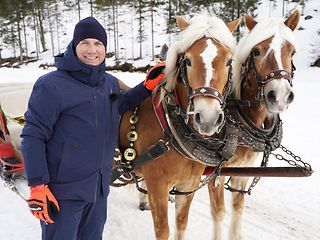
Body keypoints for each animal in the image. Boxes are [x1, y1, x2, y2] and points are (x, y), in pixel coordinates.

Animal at [118, 14, 240, 240]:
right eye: (188, 61)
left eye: (229, 62)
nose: (208, 118)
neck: (171, 131)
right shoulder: (157, 187)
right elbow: (163, 230)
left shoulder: (187, 187)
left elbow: (181, 225)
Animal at [208, 10, 300, 239]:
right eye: (256, 51)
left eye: (291, 52)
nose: (280, 96)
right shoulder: (214, 174)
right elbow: (218, 212)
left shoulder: (242, 171)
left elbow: (238, 207)